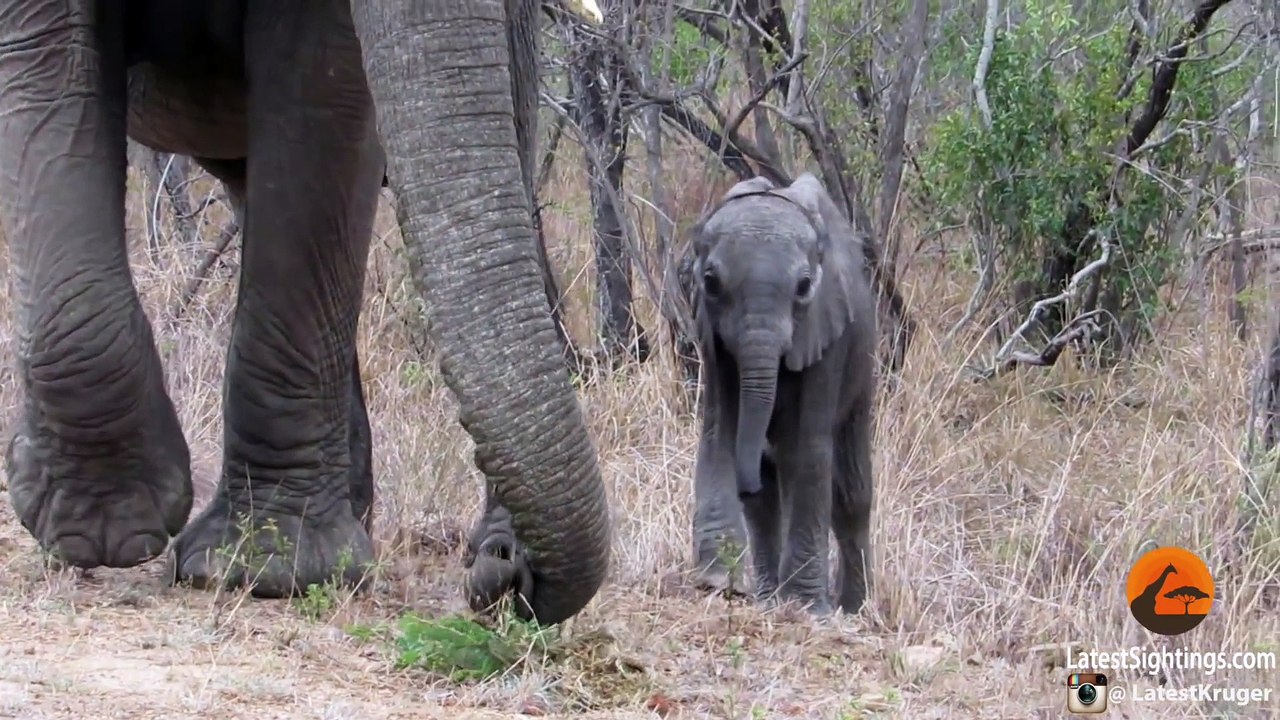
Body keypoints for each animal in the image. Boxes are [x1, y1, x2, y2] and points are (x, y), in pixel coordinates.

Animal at [685, 173, 877, 616]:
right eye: (710, 283)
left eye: (805, 287)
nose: (747, 483)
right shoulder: (711, 335)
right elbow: (719, 432)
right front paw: (717, 581)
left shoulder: (828, 331)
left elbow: (807, 447)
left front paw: (807, 609)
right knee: (770, 499)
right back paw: (771, 595)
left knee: (850, 495)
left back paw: (854, 609)